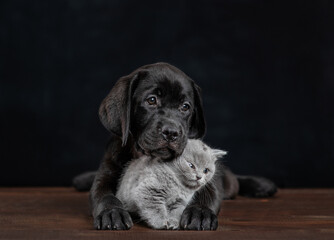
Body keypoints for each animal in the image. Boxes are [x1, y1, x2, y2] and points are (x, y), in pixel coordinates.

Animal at [74, 62, 278, 231]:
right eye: (151, 100)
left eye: (185, 106)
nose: (171, 132)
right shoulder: (105, 176)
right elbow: (104, 196)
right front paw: (112, 213)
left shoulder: (209, 182)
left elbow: (207, 193)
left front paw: (200, 213)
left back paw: (261, 184)